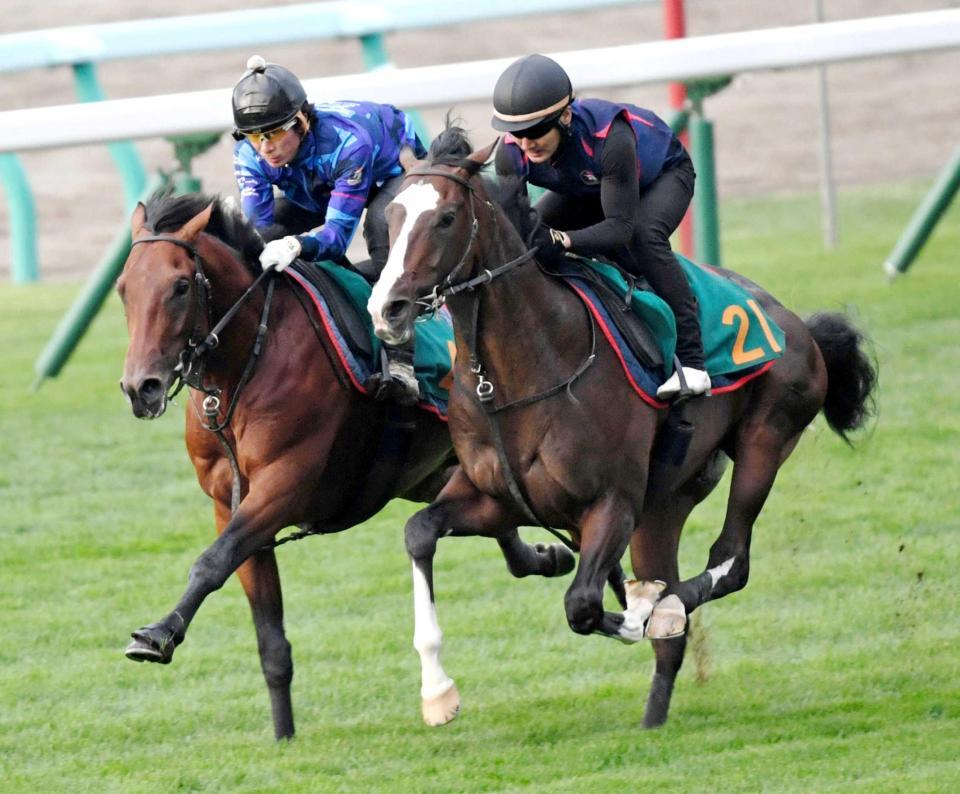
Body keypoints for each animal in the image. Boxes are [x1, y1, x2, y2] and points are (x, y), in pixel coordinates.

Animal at [117, 190, 572, 736]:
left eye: (181, 286)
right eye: (123, 290)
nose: (141, 387)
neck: (244, 366)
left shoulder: (284, 483)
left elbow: (211, 562)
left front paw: (158, 634)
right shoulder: (230, 504)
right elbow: (267, 634)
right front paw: (284, 736)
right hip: (431, 471)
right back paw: (548, 557)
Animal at [368, 128, 876, 724]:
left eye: (446, 218)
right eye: (391, 215)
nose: (387, 309)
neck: (523, 372)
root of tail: (796, 324)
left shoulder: (611, 503)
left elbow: (584, 606)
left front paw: (643, 606)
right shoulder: (497, 497)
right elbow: (419, 531)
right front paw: (437, 691)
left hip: (764, 440)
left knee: (730, 561)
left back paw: (666, 607)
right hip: (666, 502)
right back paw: (653, 713)